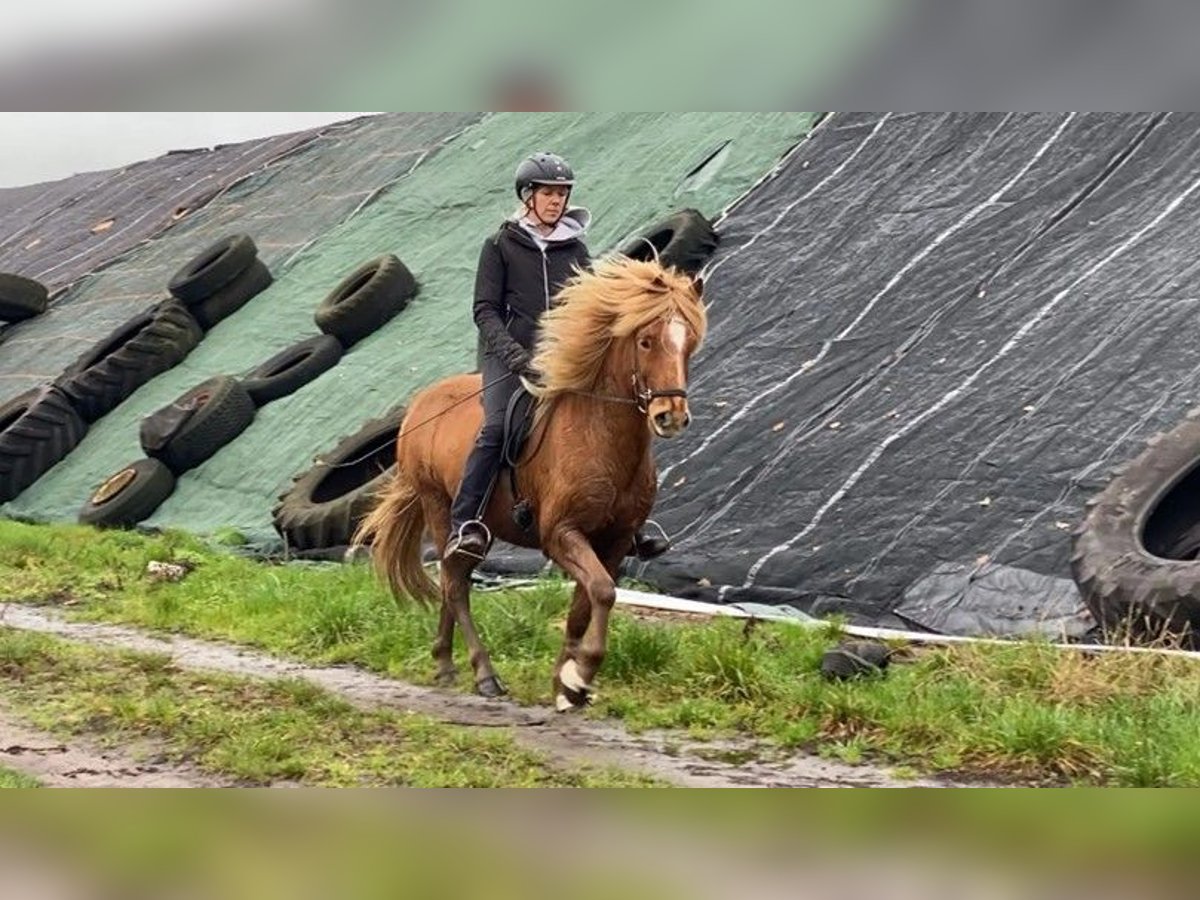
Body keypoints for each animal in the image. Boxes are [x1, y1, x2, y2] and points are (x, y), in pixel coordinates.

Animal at [357, 255, 710, 710]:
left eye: (689, 344)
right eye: (646, 341)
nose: (671, 416)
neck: (599, 437)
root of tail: (419, 406)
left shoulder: (614, 541)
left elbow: (585, 603)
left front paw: (566, 683)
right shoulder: (560, 534)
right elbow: (602, 591)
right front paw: (580, 675)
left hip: (482, 527)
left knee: (456, 580)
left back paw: (444, 662)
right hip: (439, 507)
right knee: (454, 584)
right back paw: (484, 674)